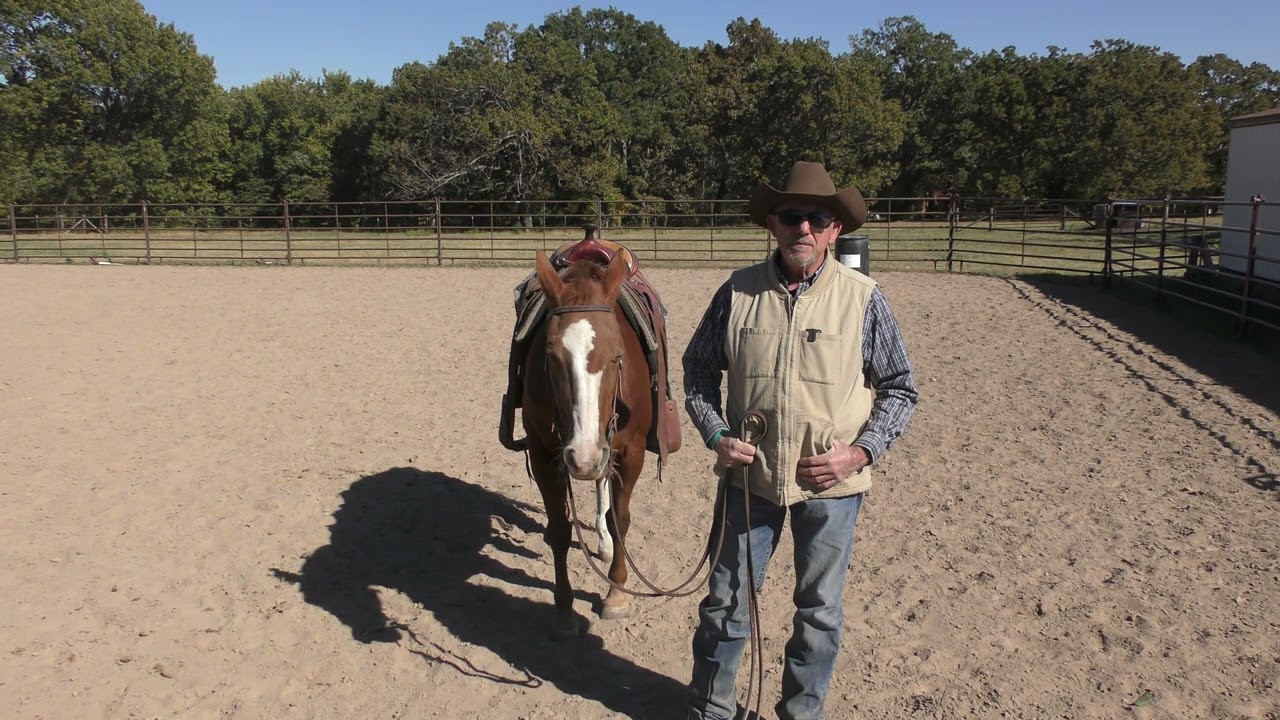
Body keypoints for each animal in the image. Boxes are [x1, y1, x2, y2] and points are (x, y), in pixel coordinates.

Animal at [520, 248, 655, 639]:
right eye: (550, 355)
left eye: (617, 355)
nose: (582, 457)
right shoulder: (542, 453)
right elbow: (559, 528)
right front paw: (564, 608)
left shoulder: (631, 453)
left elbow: (621, 519)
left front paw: (616, 595)